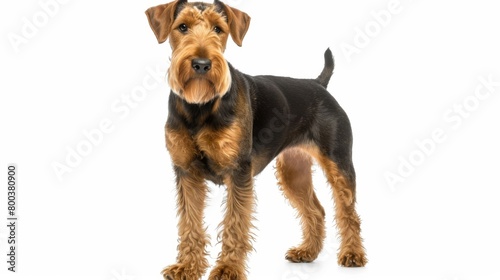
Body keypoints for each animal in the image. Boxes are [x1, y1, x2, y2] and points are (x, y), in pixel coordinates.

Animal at [146, 1, 368, 278]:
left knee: (348, 213)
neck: (200, 107)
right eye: (182, 27)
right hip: (293, 171)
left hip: (338, 164)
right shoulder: (186, 171)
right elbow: (189, 224)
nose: (201, 64)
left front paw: (228, 268)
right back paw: (307, 252)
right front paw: (187, 266)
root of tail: (318, 84)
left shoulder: (238, 171)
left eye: (218, 29)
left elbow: (234, 224)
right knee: (316, 210)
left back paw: (353, 254)